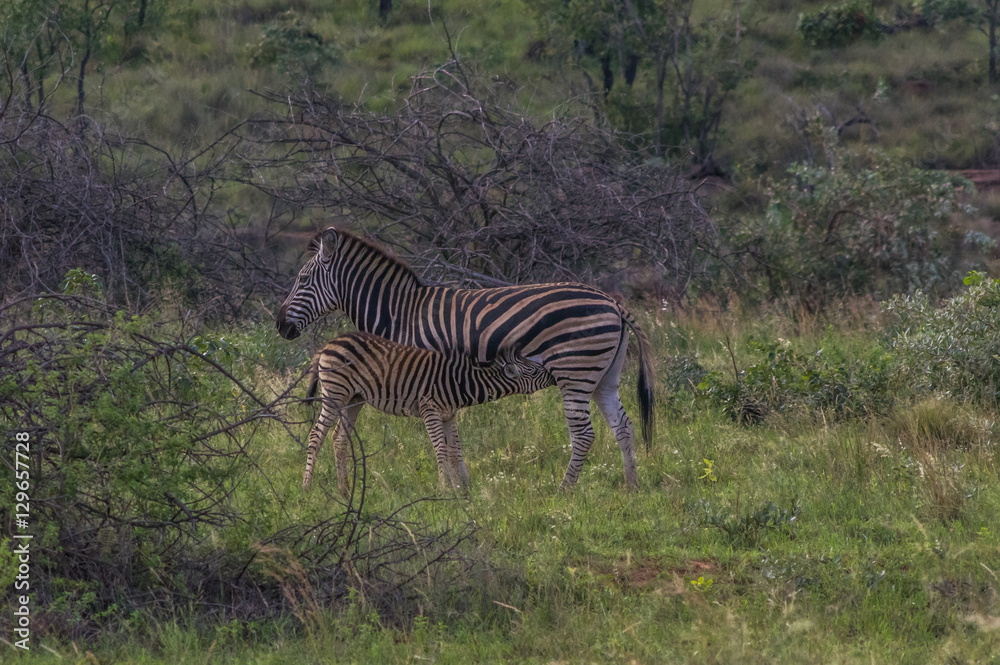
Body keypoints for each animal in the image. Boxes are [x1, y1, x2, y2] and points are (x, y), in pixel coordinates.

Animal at [303, 331, 554, 492]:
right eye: (534, 371)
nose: (553, 374)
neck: (460, 382)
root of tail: (328, 344)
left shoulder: (449, 414)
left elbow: (455, 449)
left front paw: (464, 486)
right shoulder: (430, 410)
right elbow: (440, 448)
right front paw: (445, 487)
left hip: (355, 399)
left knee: (339, 437)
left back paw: (344, 488)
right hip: (335, 394)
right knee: (316, 434)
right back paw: (307, 486)